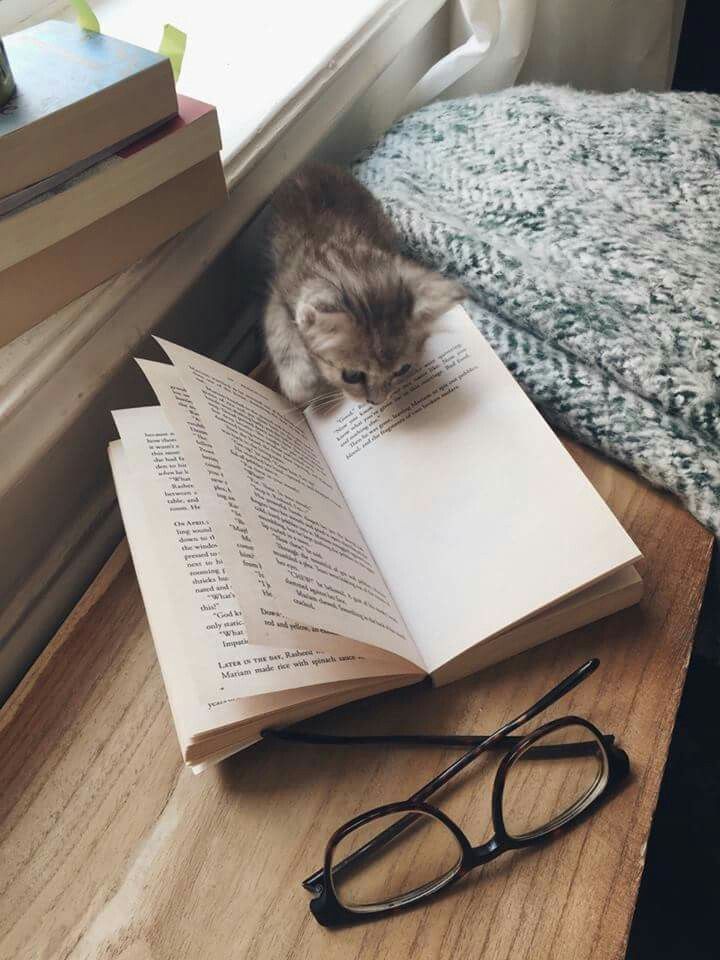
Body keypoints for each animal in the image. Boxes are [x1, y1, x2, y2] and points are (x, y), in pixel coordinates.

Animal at [262, 163, 464, 406]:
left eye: (403, 370)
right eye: (352, 375)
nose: (378, 401)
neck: (344, 260)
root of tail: (312, 165)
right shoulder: (280, 286)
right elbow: (277, 324)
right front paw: (300, 382)